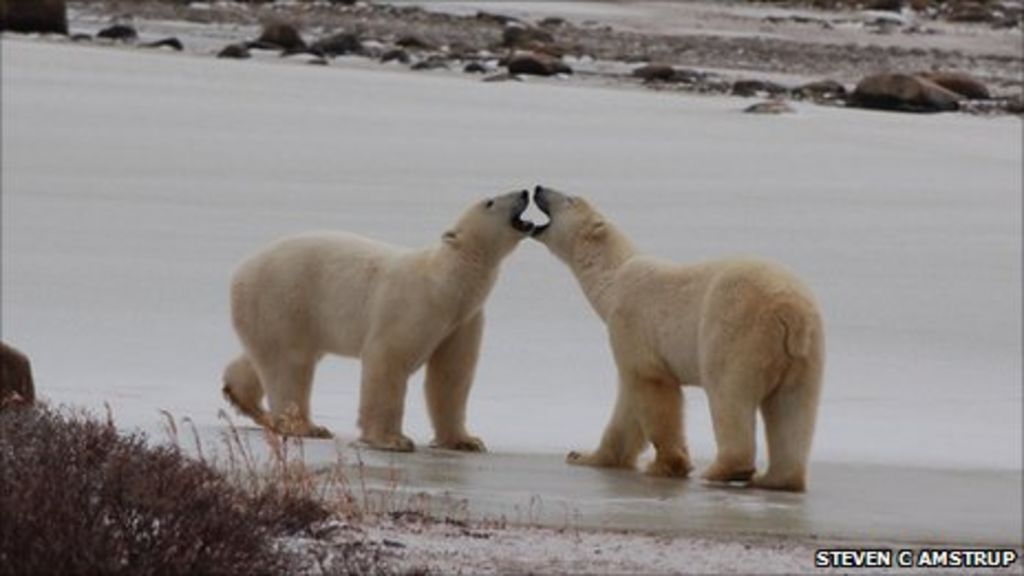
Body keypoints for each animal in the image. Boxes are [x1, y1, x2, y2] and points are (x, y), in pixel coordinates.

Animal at [223, 190, 534, 452]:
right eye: (490, 202)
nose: (524, 192)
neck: (446, 283)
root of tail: (239, 272)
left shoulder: (462, 320)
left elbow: (451, 375)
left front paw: (465, 440)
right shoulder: (415, 304)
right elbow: (388, 359)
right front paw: (392, 439)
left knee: (270, 356)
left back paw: (241, 397)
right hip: (284, 298)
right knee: (290, 364)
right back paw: (307, 427)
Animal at [531, 186, 824, 492]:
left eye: (569, 199)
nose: (538, 188)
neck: (612, 279)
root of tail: (790, 310)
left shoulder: (631, 320)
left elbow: (652, 386)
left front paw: (667, 464)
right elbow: (627, 405)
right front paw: (583, 456)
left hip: (736, 332)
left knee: (728, 394)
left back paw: (722, 470)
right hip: (806, 354)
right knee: (793, 409)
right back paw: (777, 479)